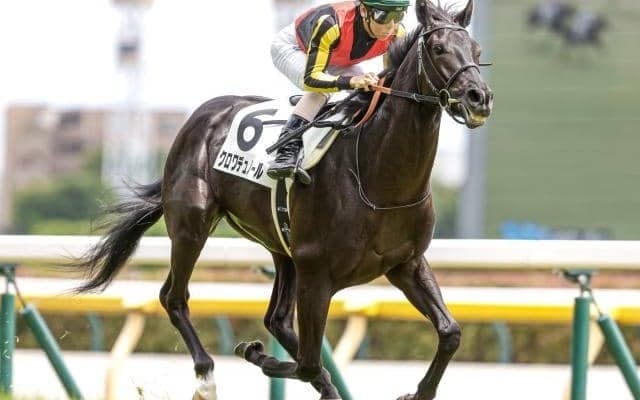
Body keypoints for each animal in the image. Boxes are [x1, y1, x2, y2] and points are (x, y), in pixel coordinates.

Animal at [72, 1, 493, 399]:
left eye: (476, 49)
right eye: (438, 48)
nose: (479, 98)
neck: (377, 176)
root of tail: (202, 116)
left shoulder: (406, 264)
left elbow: (450, 332)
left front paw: (419, 391)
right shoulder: (317, 273)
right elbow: (307, 363)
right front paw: (255, 353)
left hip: (282, 247)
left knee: (276, 319)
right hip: (192, 226)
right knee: (174, 298)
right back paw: (207, 377)